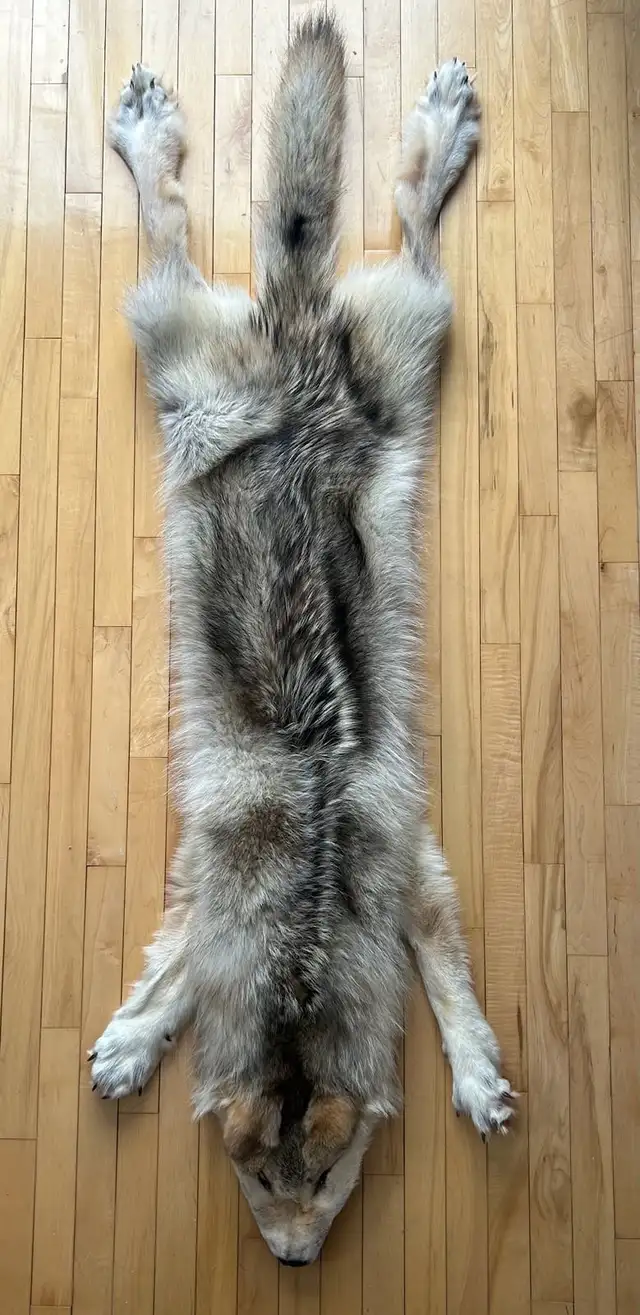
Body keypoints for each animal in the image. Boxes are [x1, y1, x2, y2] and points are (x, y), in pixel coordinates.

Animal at [90, 14, 514, 1265]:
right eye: (254, 1183)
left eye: (324, 1181)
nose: (290, 1261)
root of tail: (291, 332)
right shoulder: (214, 879)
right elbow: (182, 963)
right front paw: (137, 1038)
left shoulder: (415, 870)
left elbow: (452, 984)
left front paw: (474, 1074)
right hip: (191, 356)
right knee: (175, 231)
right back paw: (150, 136)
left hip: (389, 338)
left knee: (404, 223)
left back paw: (438, 126)